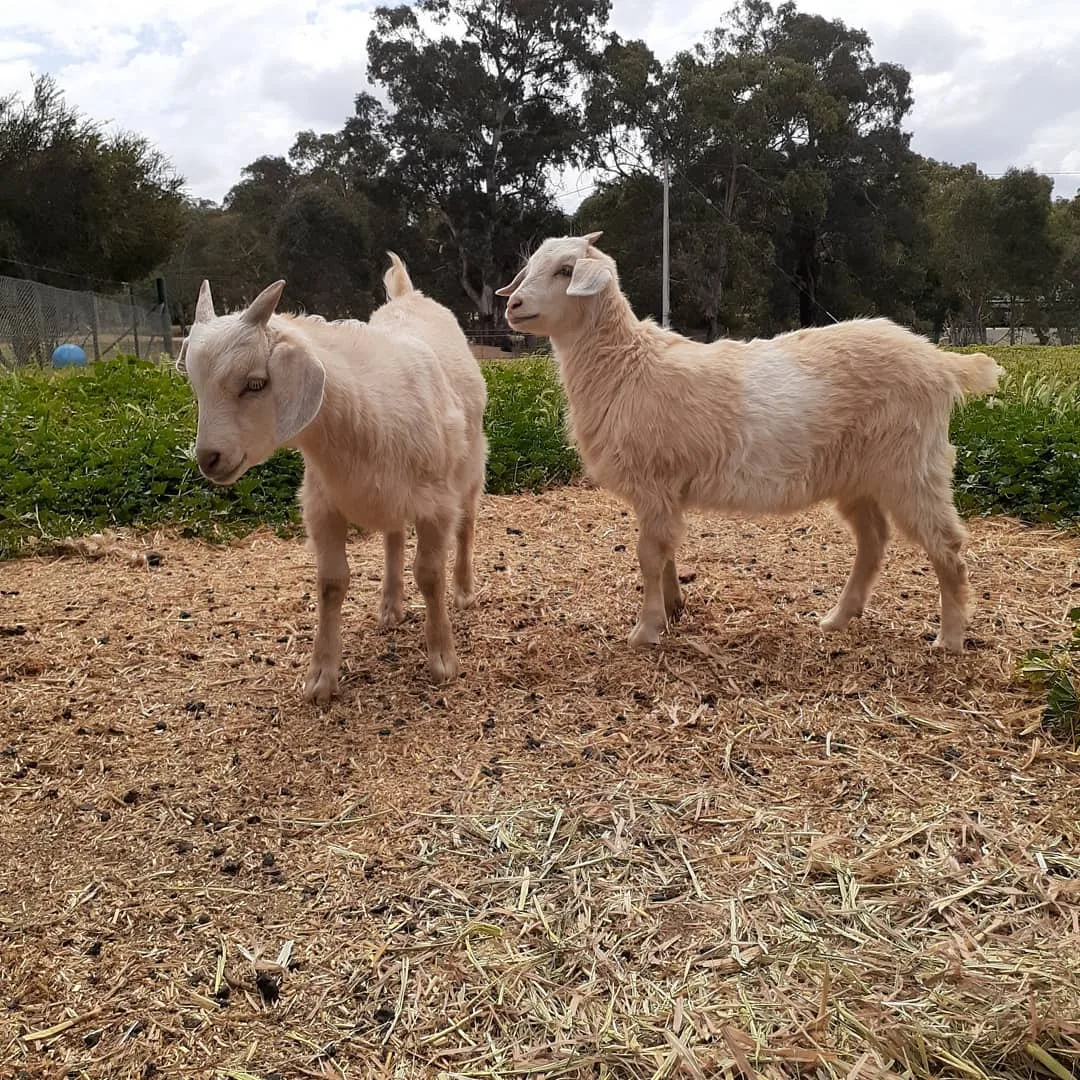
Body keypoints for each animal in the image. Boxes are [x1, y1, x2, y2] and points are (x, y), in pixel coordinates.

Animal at [496, 232, 1002, 653]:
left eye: (566, 270)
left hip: (911, 466)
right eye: (531, 266)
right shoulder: (664, 491)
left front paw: (645, 630)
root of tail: (941, 362)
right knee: (874, 539)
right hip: (859, 475)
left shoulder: (655, 481)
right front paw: (674, 607)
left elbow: (648, 556)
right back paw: (838, 617)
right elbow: (666, 551)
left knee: (947, 547)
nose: (513, 305)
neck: (627, 365)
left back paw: (949, 639)